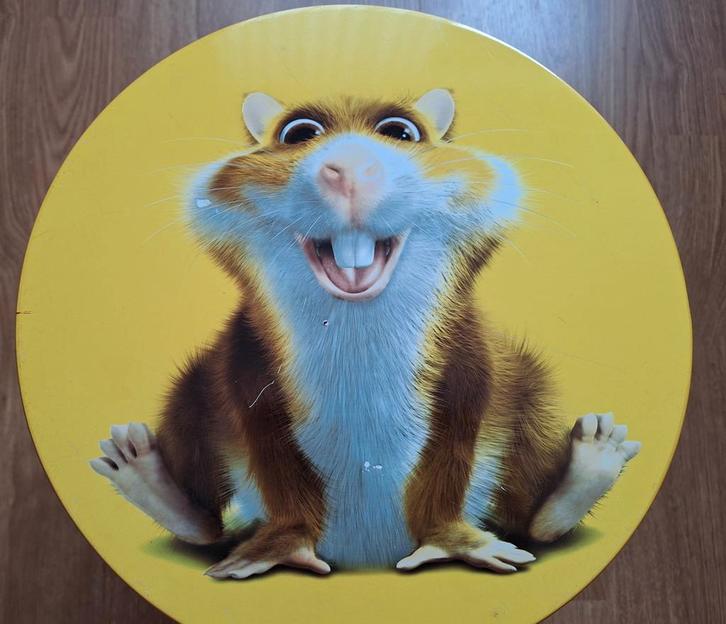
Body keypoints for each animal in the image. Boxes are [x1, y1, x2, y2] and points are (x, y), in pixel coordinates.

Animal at [91, 88, 641, 578]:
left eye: (401, 131)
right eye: (298, 133)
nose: (351, 170)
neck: (355, 328)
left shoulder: (469, 358)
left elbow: (453, 450)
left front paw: (456, 543)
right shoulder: (242, 363)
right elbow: (272, 457)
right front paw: (276, 548)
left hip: (532, 404)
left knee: (533, 510)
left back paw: (592, 460)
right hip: (190, 403)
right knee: (204, 516)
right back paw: (143, 472)